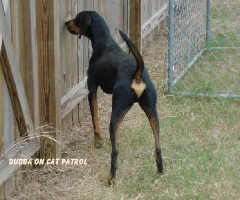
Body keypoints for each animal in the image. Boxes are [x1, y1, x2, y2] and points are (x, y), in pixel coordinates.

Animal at [65, 10, 163, 184]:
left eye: (76, 19)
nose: (65, 23)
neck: (104, 43)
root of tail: (137, 74)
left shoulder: (91, 90)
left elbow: (95, 119)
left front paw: (98, 141)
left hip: (116, 113)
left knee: (115, 151)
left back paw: (111, 178)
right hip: (152, 112)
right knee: (158, 145)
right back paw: (160, 170)